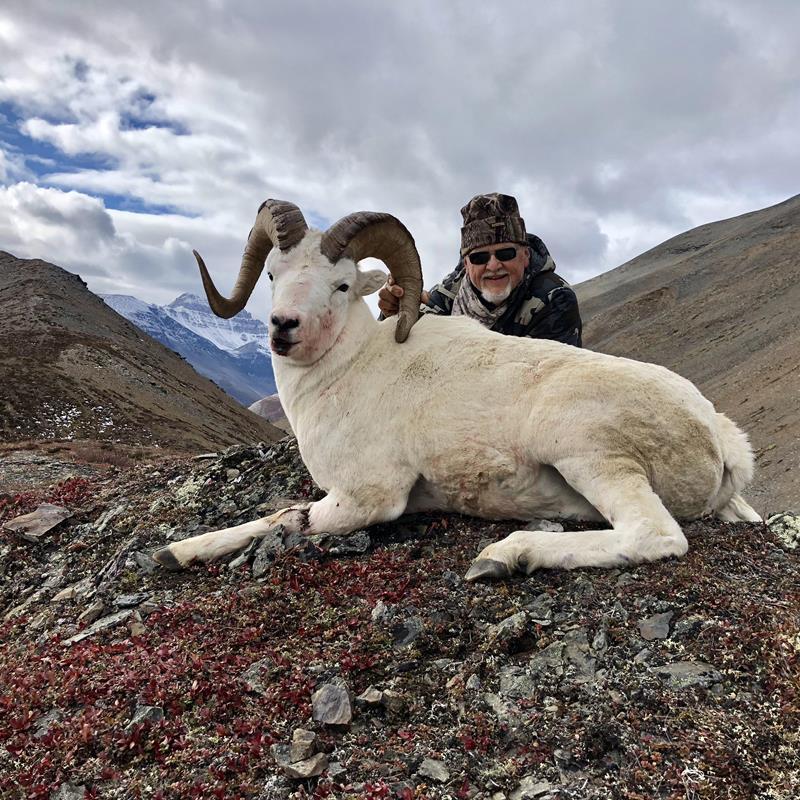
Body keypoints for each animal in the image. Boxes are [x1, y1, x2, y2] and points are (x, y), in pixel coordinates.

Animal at [152, 200, 761, 580]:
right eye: (273, 276)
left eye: (342, 284)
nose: (284, 328)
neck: (349, 371)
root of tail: (717, 434)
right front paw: (175, 552)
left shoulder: (366, 498)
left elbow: (282, 519)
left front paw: (178, 552)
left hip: (589, 454)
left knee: (653, 536)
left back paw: (504, 556)